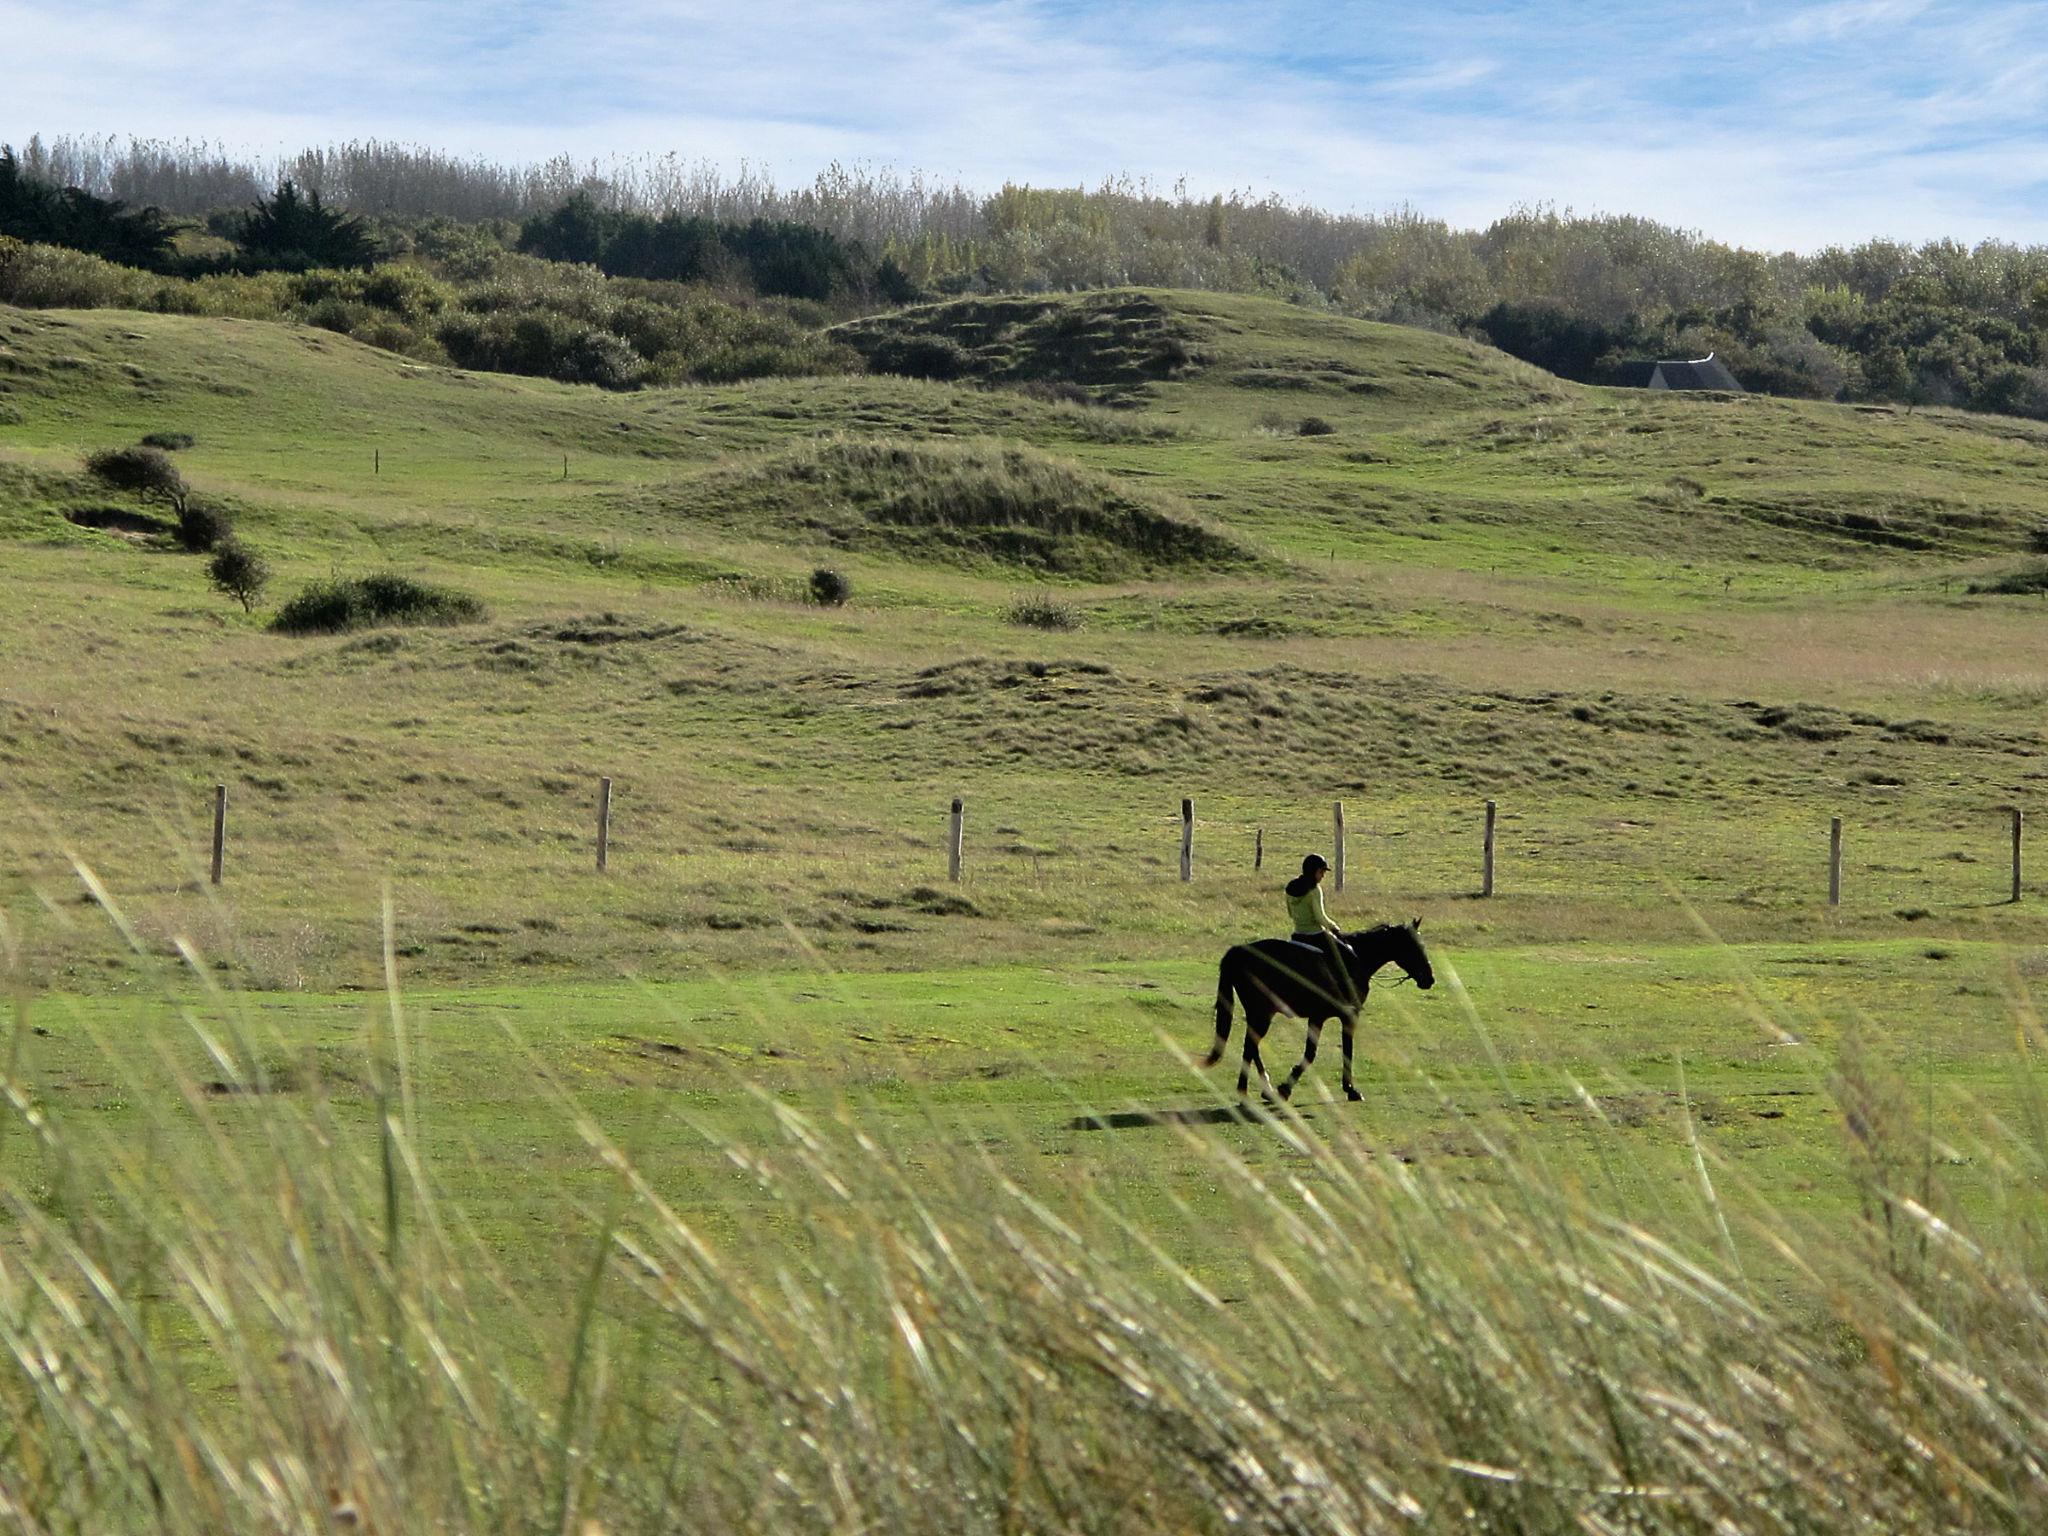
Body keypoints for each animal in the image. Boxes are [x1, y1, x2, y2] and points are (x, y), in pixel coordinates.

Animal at [1204, 925, 1433, 1105]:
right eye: (1415, 947)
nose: (1430, 979)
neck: (1356, 958)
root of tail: (1238, 951)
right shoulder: (1340, 1015)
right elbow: (1328, 1052)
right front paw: (1349, 1089)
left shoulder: (1321, 1017)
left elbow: (1322, 1052)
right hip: (1262, 1013)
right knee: (1250, 1046)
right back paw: (1245, 1092)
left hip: (1259, 1014)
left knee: (1253, 1046)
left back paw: (1265, 1088)